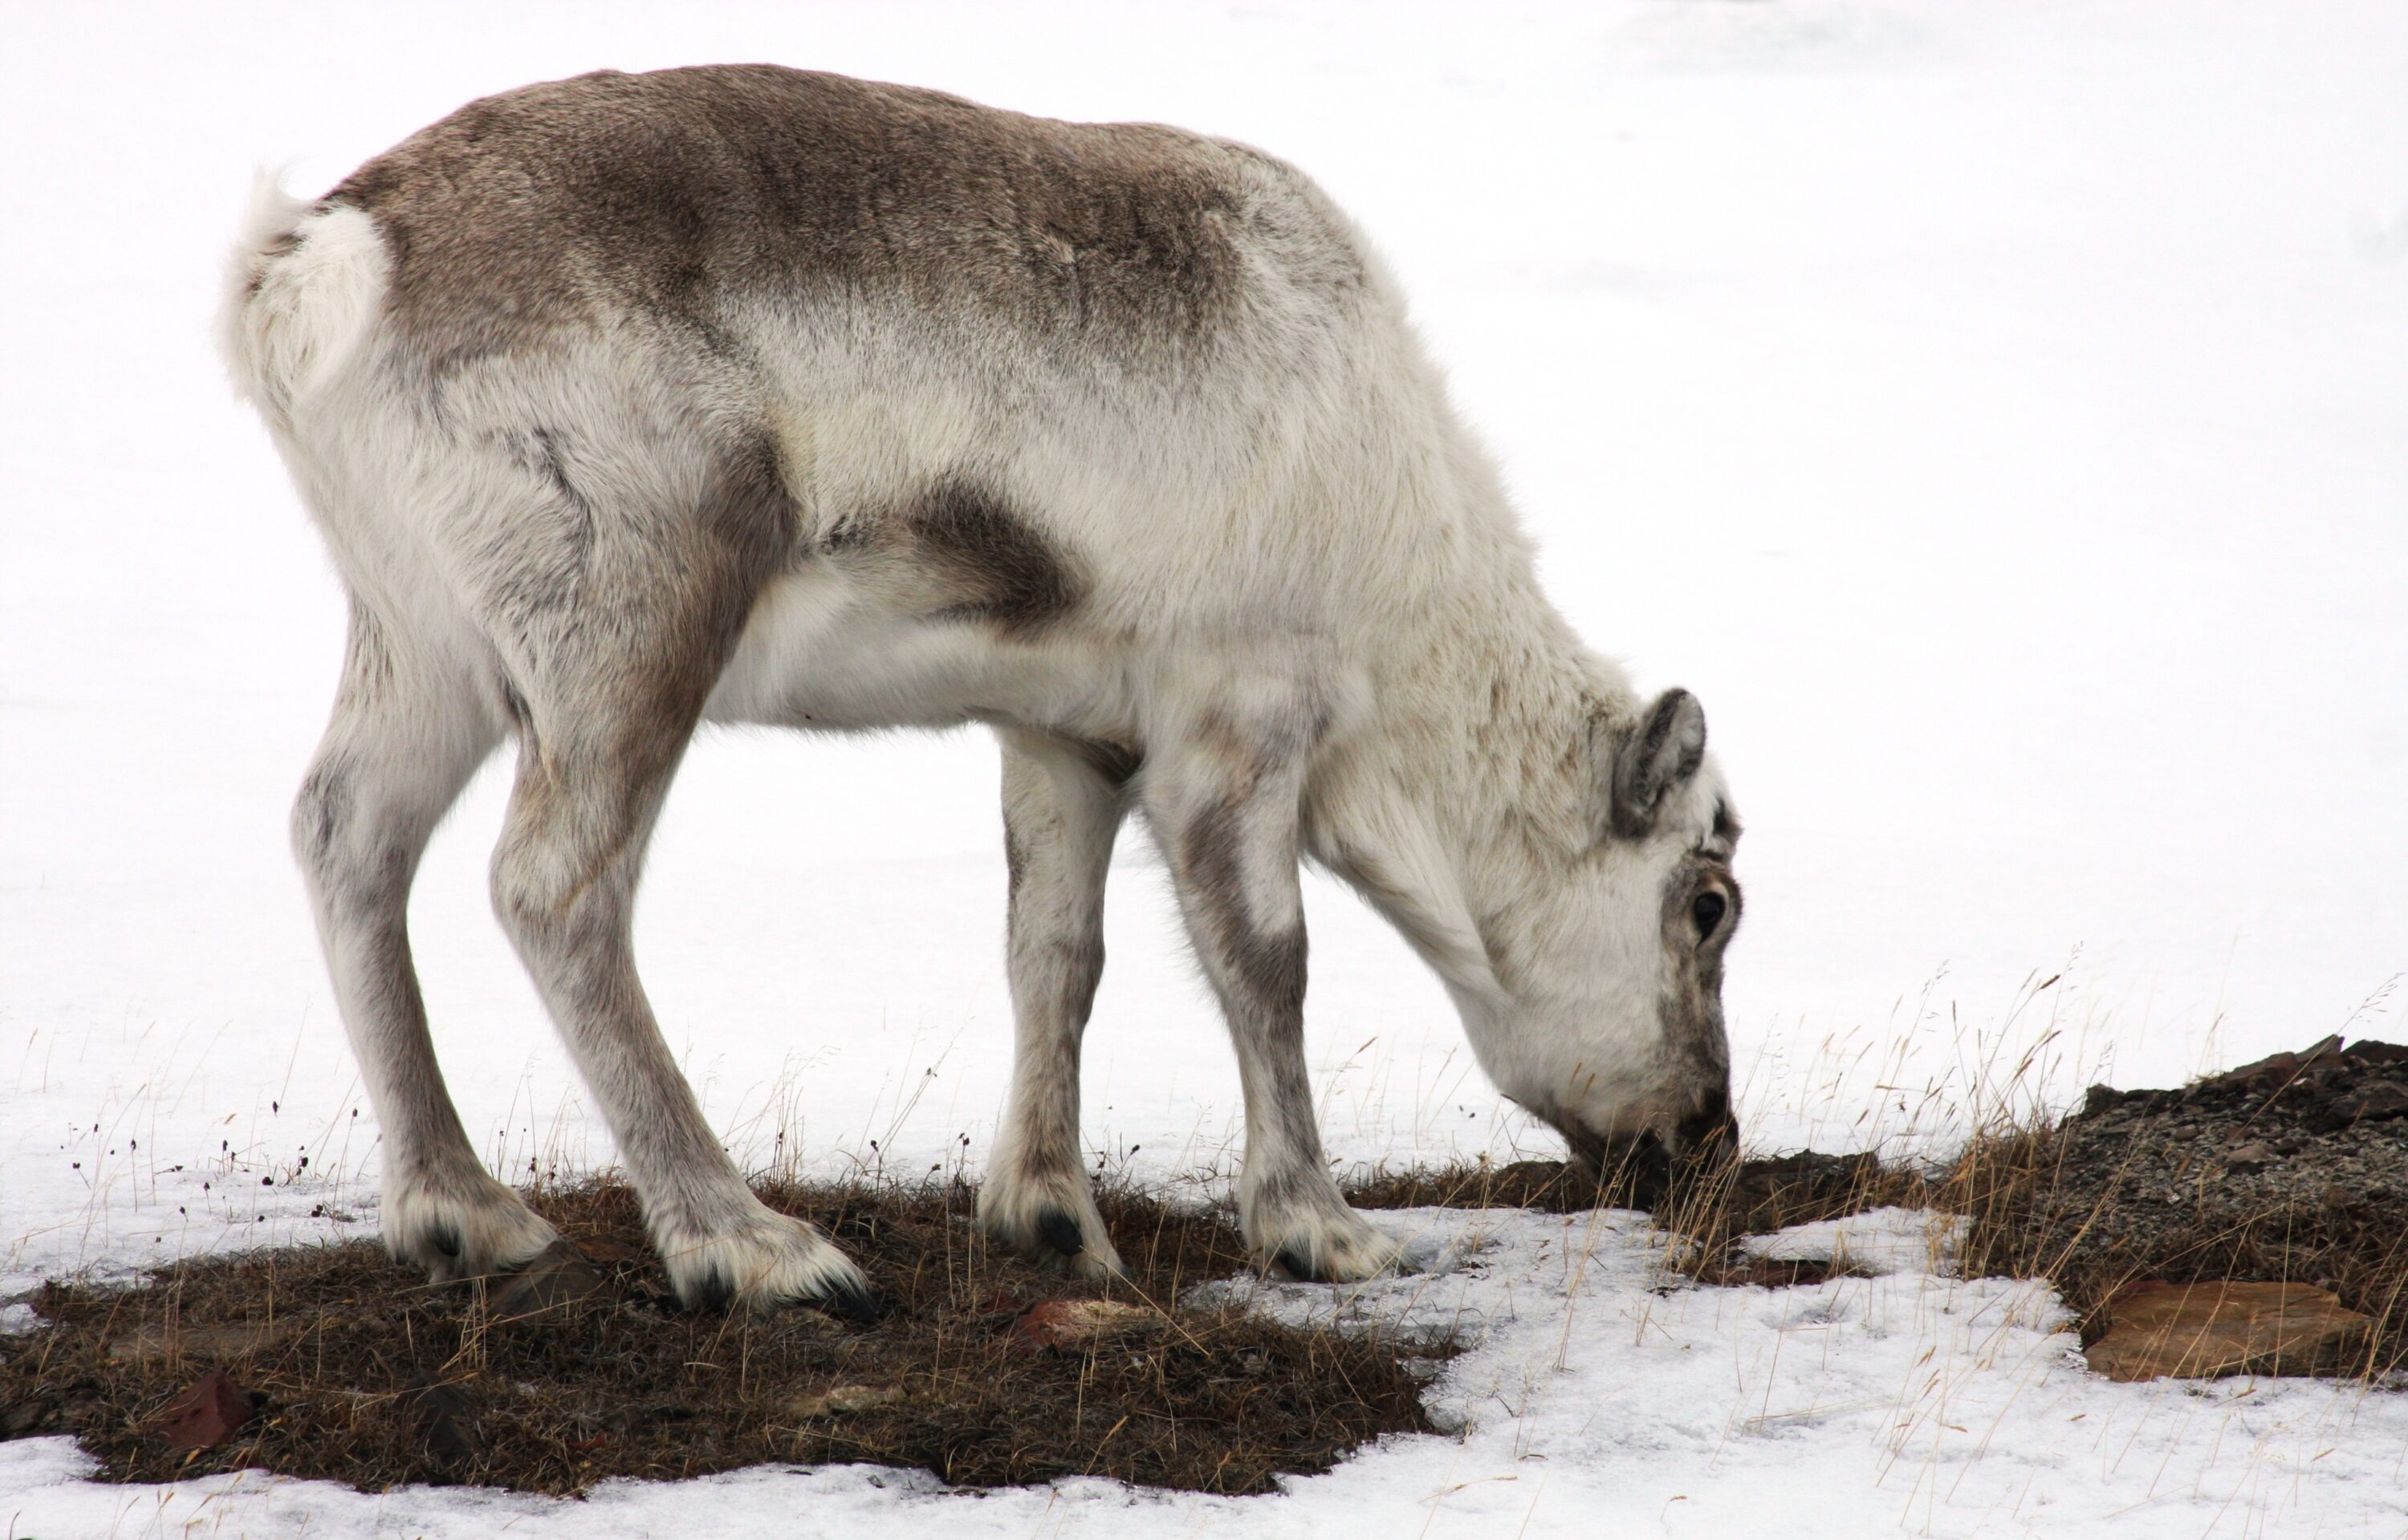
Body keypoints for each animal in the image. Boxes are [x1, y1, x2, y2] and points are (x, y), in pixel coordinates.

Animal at [220, 65, 1742, 1318]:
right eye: (1708, 903)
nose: (1710, 1137)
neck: (1410, 620)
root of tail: (325, 261)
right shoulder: (1241, 712)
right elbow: (1270, 958)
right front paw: (1320, 1226)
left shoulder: (1064, 731)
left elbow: (1055, 952)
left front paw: (1051, 1212)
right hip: (633, 618)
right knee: (552, 888)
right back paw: (750, 1246)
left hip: (426, 641)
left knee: (345, 833)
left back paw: (463, 1212)